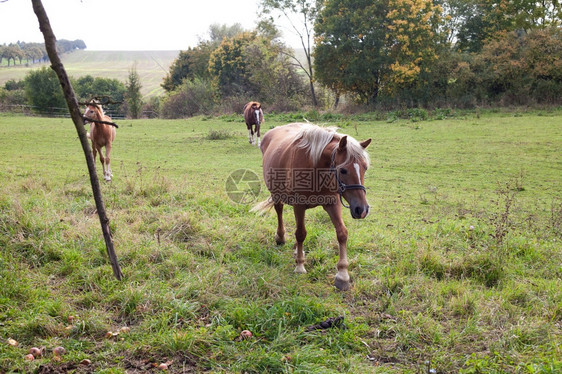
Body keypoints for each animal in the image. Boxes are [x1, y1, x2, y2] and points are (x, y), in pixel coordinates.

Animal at [252, 124, 370, 290]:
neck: (315, 167)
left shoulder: (332, 204)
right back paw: (281, 237)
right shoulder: (298, 205)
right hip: (276, 194)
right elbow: (301, 233)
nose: (362, 209)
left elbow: (342, 233)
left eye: (365, 168)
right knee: (279, 211)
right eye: (343, 170)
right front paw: (300, 266)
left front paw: (342, 275)